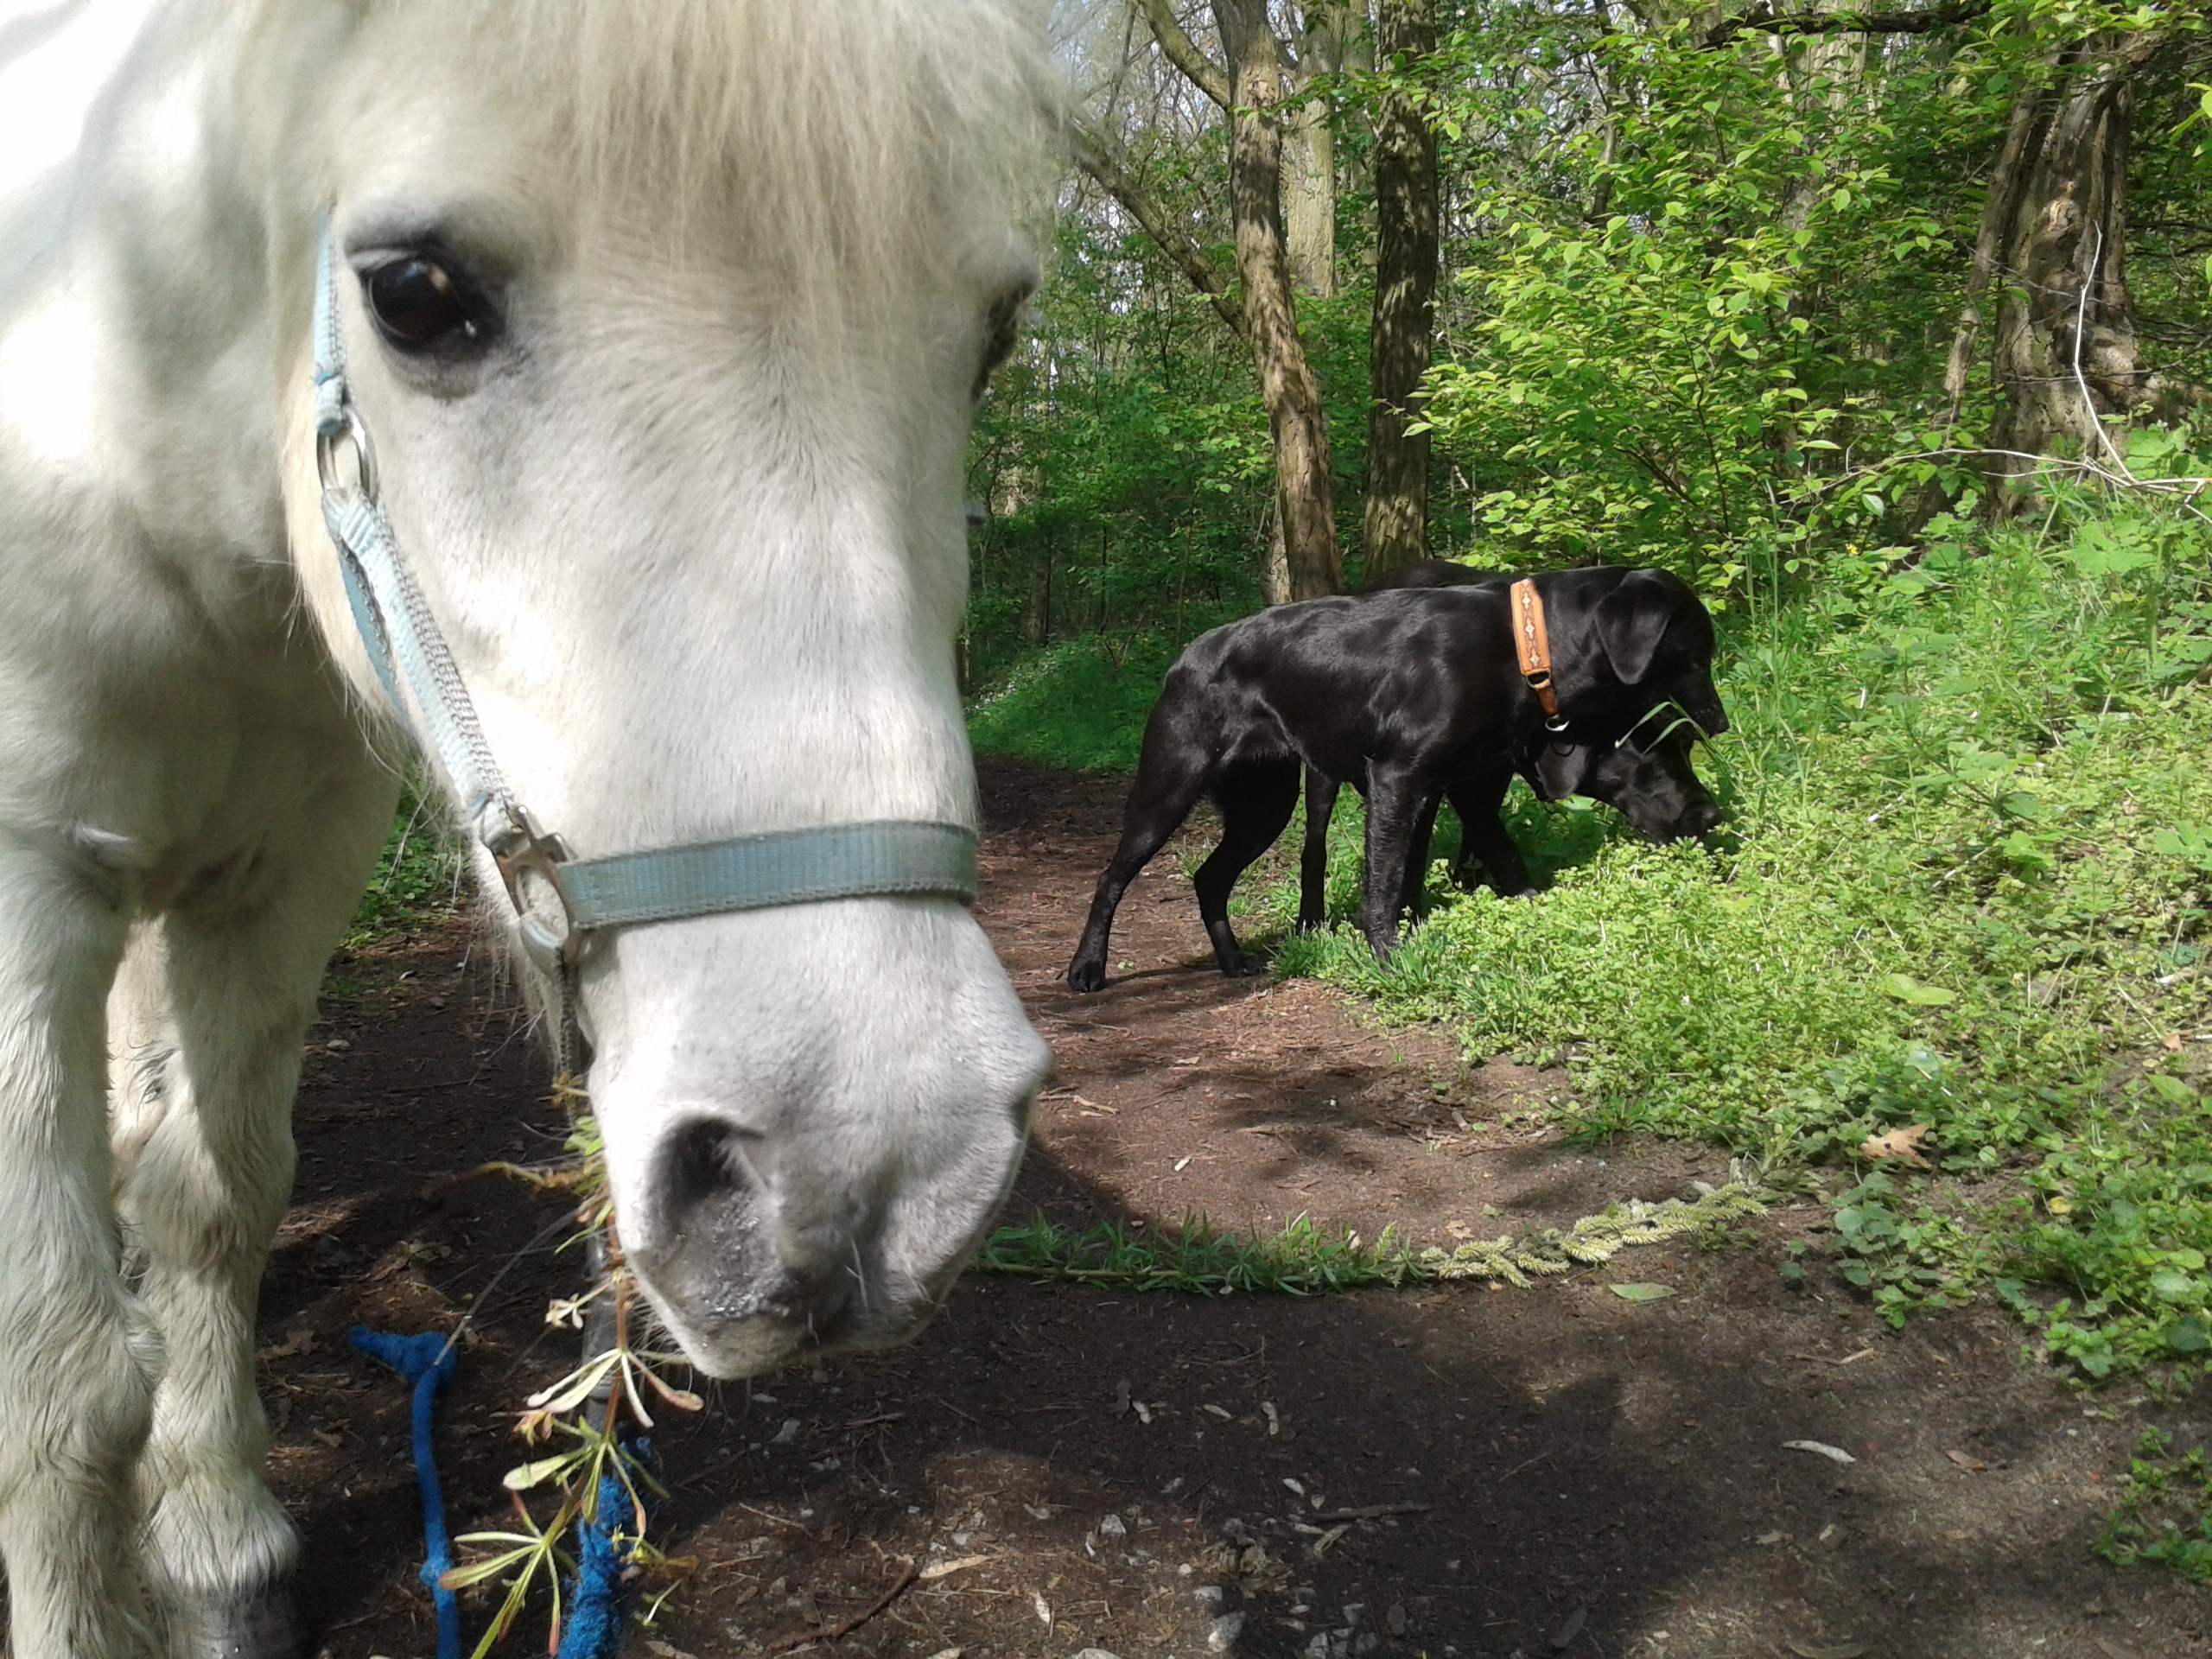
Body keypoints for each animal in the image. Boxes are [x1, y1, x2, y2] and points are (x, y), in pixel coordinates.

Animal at [0, 3, 1052, 1659]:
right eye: (416, 293)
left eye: (999, 326)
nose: (875, 1176)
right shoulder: (26, 878)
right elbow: (56, 1375)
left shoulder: (281, 876)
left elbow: (212, 1206)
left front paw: (217, 1545)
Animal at [1065, 566, 1725, 995]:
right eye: (1695, 656)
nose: (1712, 814)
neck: (1523, 643)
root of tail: (1183, 658)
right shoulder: (1399, 780)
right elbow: (1384, 882)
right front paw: (1388, 958)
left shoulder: (1442, 789)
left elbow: (1436, 869)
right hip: (1171, 788)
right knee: (1111, 878)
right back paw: (1087, 968)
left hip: (1265, 805)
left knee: (1209, 878)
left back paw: (1232, 961)